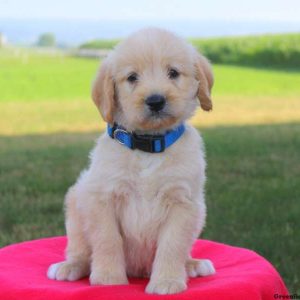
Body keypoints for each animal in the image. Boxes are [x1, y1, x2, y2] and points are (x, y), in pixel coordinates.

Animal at [47, 28, 216, 296]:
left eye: (173, 73)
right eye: (132, 77)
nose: (156, 101)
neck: (148, 147)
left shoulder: (183, 203)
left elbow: (172, 244)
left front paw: (167, 281)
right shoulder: (102, 197)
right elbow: (107, 239)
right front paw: (109, 278)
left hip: (199, 214)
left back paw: (191, 265)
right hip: (76, 202)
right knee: (80, 250)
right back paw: (70, 266)